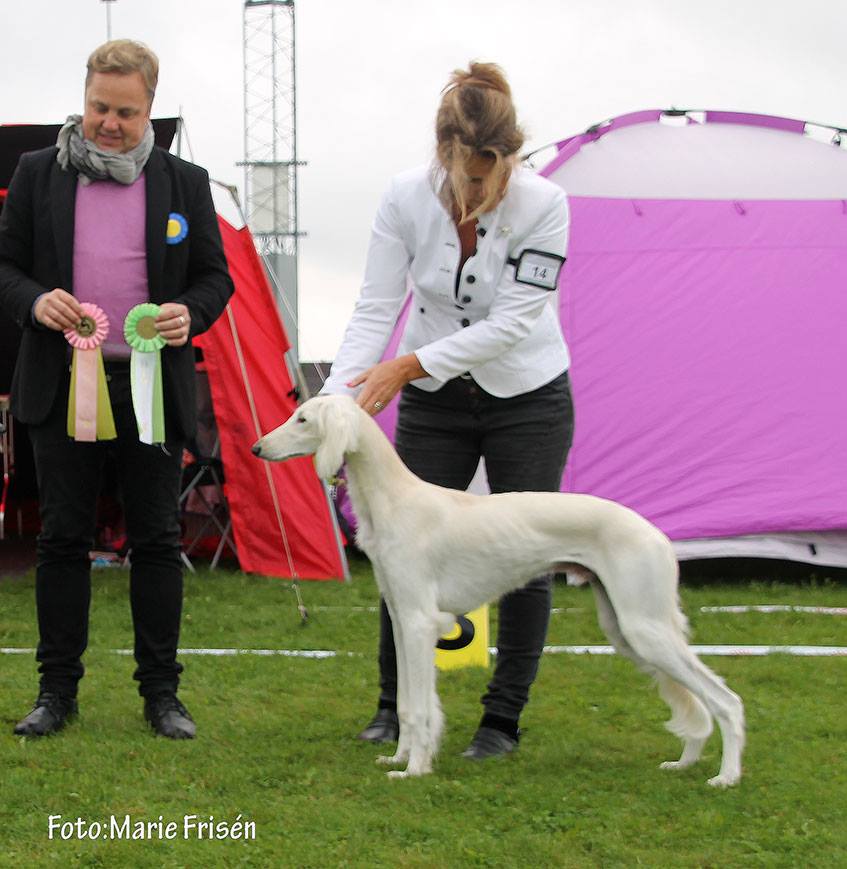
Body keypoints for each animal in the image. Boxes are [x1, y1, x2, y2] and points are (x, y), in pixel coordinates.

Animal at [255, 394, 744, 788]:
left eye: (302, 418)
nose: (257, 448)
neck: (395, 500)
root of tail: (656, 535)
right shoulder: (401, 618)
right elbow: (411, 705)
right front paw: (400, 758)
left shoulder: (418, 621)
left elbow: (419, 707)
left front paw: (413, 771)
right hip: (625, 628)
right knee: (701, 705)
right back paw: (684, 764)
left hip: (645, 627)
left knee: (727, 701)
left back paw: (726, 777)